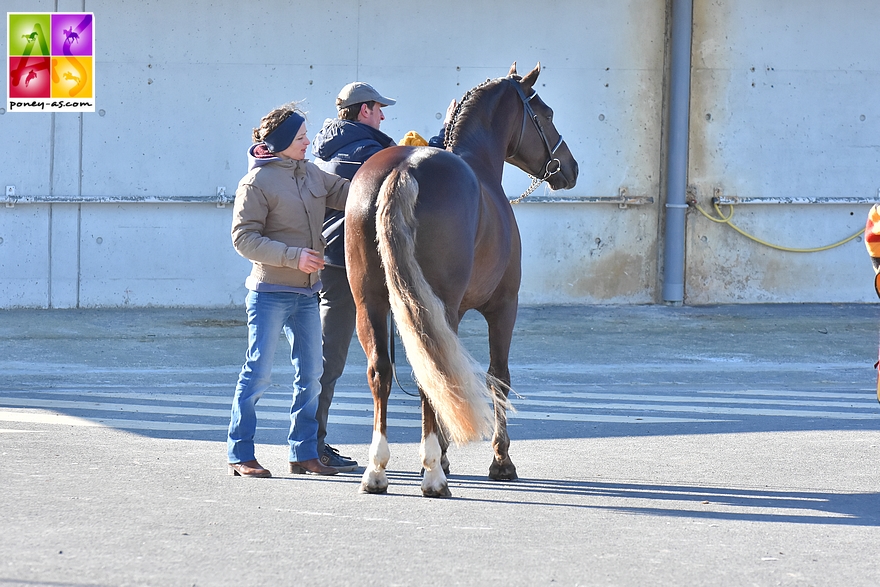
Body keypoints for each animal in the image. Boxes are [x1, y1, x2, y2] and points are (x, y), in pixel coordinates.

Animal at [344, 62, 576, 498]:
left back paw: (378, 470)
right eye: (547, 114)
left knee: (382, 370)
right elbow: (498, 377)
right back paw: (433, 475)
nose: (569, 168)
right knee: (430, 375)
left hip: (371, 303)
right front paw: (500, 460)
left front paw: (447, 454)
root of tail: (403, 169)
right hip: (438, 307)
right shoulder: (503, 307)